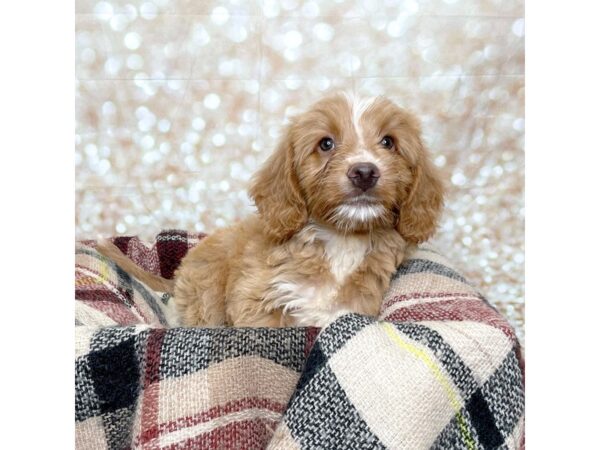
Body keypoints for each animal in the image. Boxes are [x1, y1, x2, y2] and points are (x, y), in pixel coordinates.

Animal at [98, 94, 442, 326]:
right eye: (326, 144)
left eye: (388, 142)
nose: (364, 172)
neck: (340, 241)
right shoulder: (256, 301)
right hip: (205, 295)